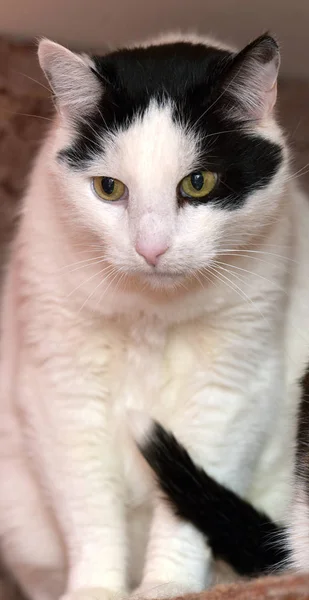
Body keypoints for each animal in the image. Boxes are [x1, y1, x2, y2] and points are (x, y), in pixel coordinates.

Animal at [0, 30, 308, 600]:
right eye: (109, 188)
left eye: (198, 183)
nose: (151, 248)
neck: (152, 312)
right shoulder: (64, 388)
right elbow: (88, 506)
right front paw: (95, 590)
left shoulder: (226, 387)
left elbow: (188, 503)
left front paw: (169, 584)